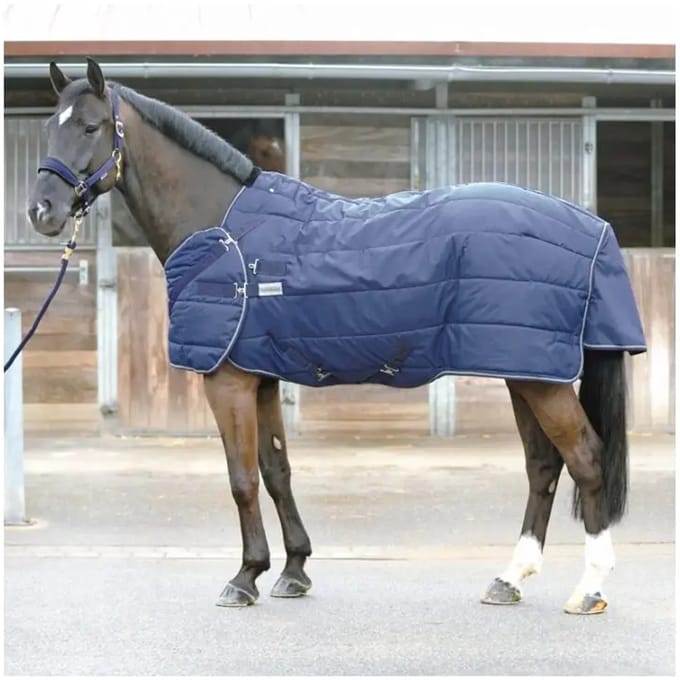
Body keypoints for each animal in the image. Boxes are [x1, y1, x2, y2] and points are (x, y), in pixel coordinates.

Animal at [28, 58, 646, 615]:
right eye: (49, 126)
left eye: (90, 127)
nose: (42, 212)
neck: (224, 229)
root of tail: (592, 227)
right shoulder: (262, 378)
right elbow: (276, 471)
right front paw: (293, 570)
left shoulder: (227, 382)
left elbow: (241, 478)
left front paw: (244, 578)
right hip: (525, 371)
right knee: (543, 465)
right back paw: (509, 579)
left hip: (541, 379)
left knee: (586, 459)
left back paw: (589, 588)